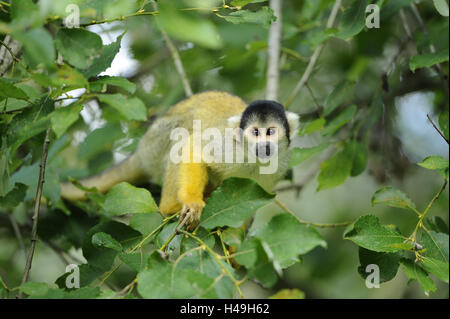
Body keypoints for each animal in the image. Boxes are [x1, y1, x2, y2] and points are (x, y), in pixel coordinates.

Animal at [59, 92, 298, 230]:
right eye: (255, 132)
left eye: (270, 132)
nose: (264, 146)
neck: (253, 160)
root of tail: (141, 151)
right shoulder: (229, 147)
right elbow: (192, 148)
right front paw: (192, 202)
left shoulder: (279, 166)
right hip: (157, 144)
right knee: (181, 135)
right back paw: (170, 206)